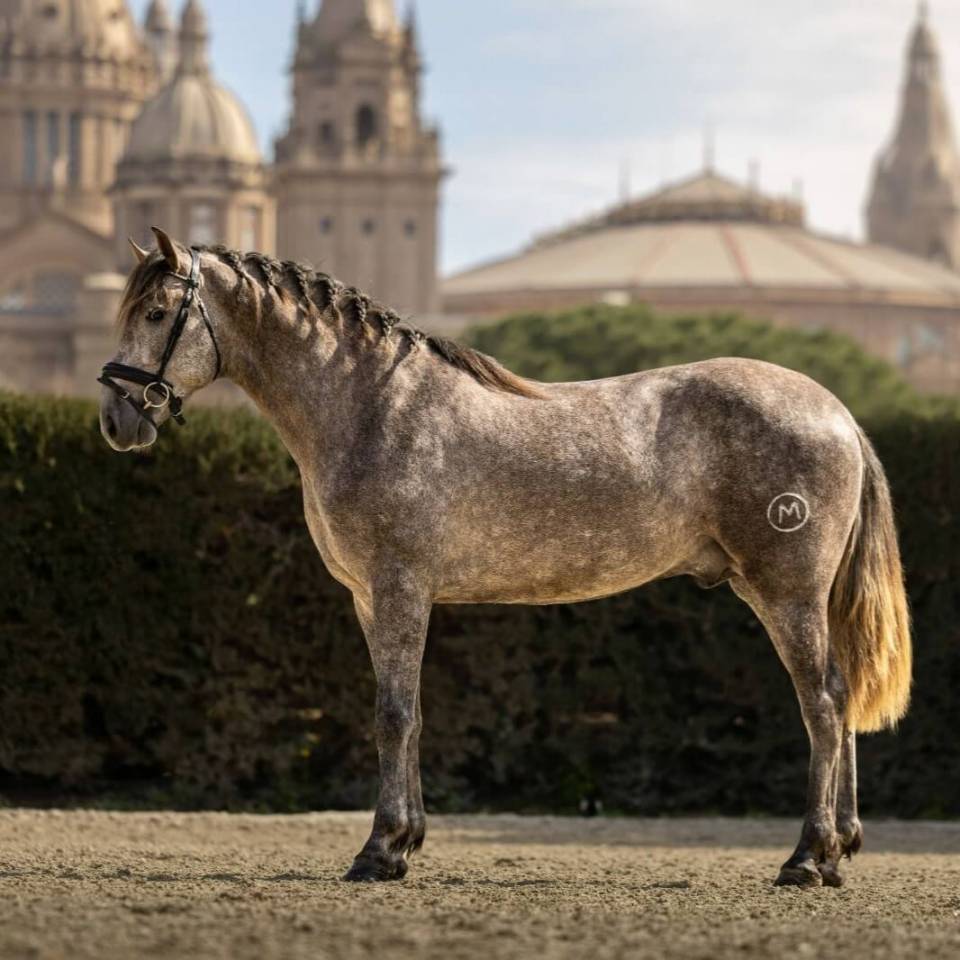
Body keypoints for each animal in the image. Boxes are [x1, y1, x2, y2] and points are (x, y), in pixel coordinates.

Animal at [99, 228, 911, 888]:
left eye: (156, 313)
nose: (115, 420)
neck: (370, 405)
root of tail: (836, 412)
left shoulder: (399, 586)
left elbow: (391, 714)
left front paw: (377, 851)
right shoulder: (372, 597)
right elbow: (411, 712)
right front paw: (405, 844)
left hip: (786, 593)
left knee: (823, 704)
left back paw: (806, 858)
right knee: (841, 698)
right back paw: (839, 851)